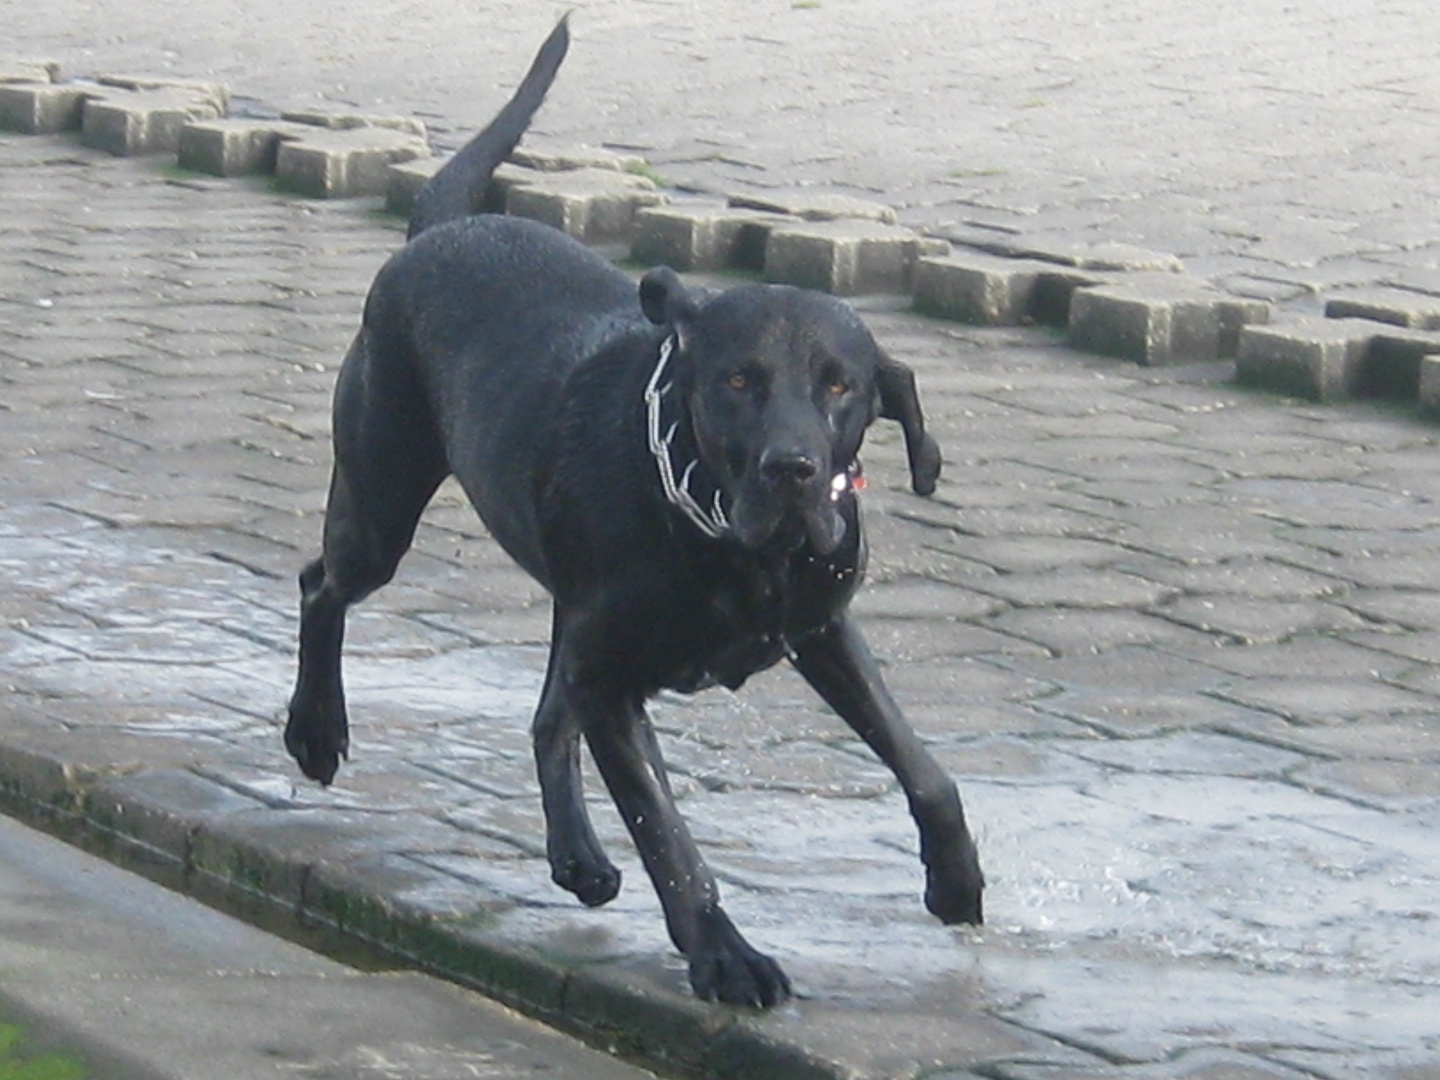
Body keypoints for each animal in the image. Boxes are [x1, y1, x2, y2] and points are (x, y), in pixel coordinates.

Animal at [289, 19, 990, 1013]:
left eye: (840, 385)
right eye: (737, 380)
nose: (792, 468)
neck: (733, 550)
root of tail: (443, 226)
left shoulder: (820, 628)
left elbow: (922, 765)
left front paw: (956, 878)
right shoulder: (615, 684)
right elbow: (671, 839)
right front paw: (727, 957)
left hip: (561, 609)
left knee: (546, 719)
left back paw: (578, 857)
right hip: (381, 505)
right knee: (323, 585)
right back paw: (315, 732)